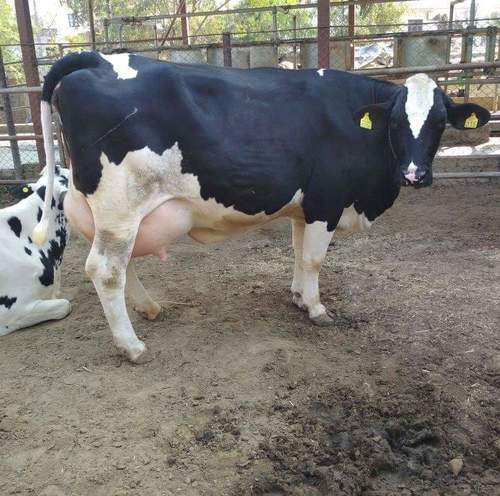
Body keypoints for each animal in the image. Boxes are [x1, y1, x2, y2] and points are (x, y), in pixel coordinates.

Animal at [33, 52, 490, 360]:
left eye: (439, 123)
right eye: (396, 123)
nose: (415, 174)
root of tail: (98, 58)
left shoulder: (304, 207)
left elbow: (298, 252)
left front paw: (298, 297)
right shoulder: (327, 199)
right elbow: (314, 260)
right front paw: (316, 308)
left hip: (111, 210)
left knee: (120, 266)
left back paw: (148, 308)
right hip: (120, 203)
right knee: (106, 270)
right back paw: (131, 345)